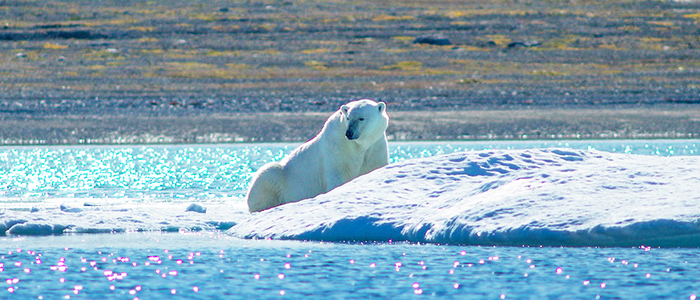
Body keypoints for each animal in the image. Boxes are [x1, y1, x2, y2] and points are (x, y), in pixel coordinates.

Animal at [246, 99, 388, 212]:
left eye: (361, 118)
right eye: (348, 118)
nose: (349, 133)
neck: (359, 145)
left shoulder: (375, 145)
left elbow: (375, 167)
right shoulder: (337, 148)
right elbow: (338, 173)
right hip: (280, 180)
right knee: (268, 174)